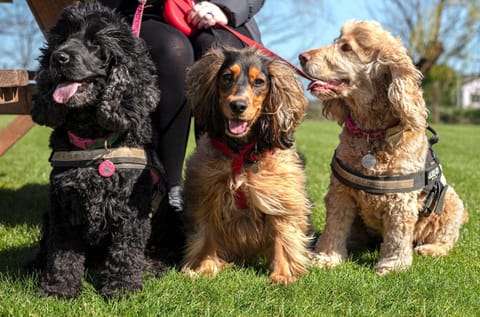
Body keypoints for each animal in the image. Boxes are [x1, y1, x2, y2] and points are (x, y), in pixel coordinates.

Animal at [30, 2, 165, 298]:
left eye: (95, 43)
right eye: (61, 39)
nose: (58, 58)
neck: (94, 142)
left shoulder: (132, 208)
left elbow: (126, 251)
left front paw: (122, 287)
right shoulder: (63, 206)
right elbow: (62, 253)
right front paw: (58, 288)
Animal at [183, 45, 312, 282]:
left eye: (259, 82)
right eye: (226, 77)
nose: (238, 105)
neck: (241, 153)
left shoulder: (280, 196)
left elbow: (283, 234)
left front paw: (282, 274)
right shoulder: (207, 192)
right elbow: (206, 234)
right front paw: (205, 267)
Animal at [298, 21, 466, 274]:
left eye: (346, 48)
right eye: (337, 40)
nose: (302, 57)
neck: (370, 132)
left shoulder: (401, 199)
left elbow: (397, 234)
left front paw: (393, 265)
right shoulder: (340, 191)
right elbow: (335, 226)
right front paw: (327, 256)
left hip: (453, 204)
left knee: (446, 238)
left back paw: (430, 249)